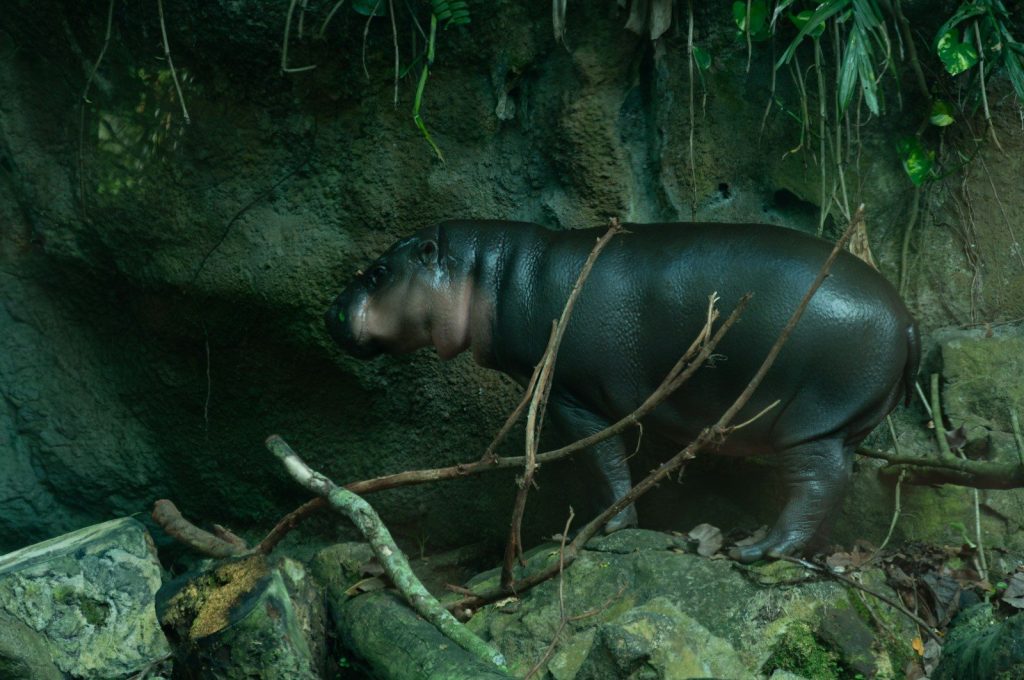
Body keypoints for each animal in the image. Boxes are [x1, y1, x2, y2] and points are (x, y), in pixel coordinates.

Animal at [325, 220, 920, 562]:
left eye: (378, 272)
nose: (330, 311)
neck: (490, 272)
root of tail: (909, 317)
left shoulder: (571, 396)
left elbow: (601, 461)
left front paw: (594, 532)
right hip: (842, 424)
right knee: (835, 481)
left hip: (811, 420)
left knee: (818, 482)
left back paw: (759, 550)